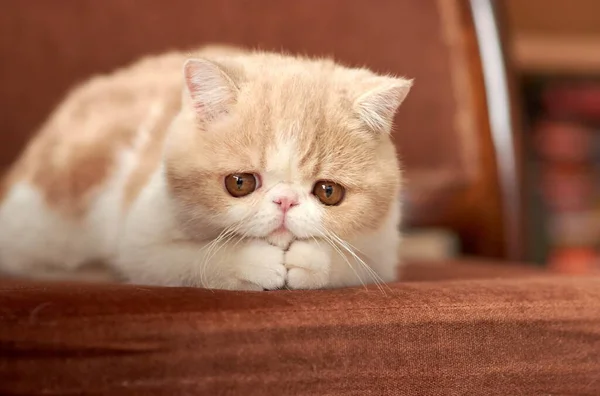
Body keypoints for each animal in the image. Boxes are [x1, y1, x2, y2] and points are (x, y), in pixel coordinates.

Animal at [0, 45, 412, 290]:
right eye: (240, 183)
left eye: (328, 192)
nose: (284, 201)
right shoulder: (141, 241)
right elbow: (190, 260)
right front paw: (253, 263)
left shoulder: (383, 247)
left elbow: (355, 262)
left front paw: (310, 261)